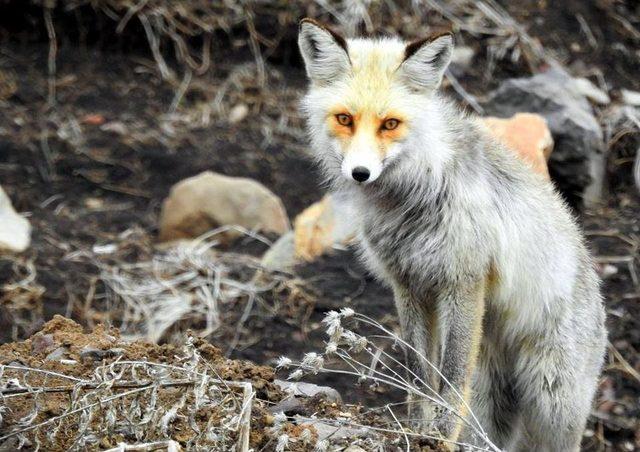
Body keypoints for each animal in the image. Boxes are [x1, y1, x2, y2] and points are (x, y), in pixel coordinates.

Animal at [298, 18, 608, 452]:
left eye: (390, 124)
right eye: (345, 119)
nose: (360, 173)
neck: (411, 201)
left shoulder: (463, 282)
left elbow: (452, 375)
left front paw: (440, 437)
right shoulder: (408, 283)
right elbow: (419, 374)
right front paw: (416, 430)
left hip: (551, 403)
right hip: (493, 399)